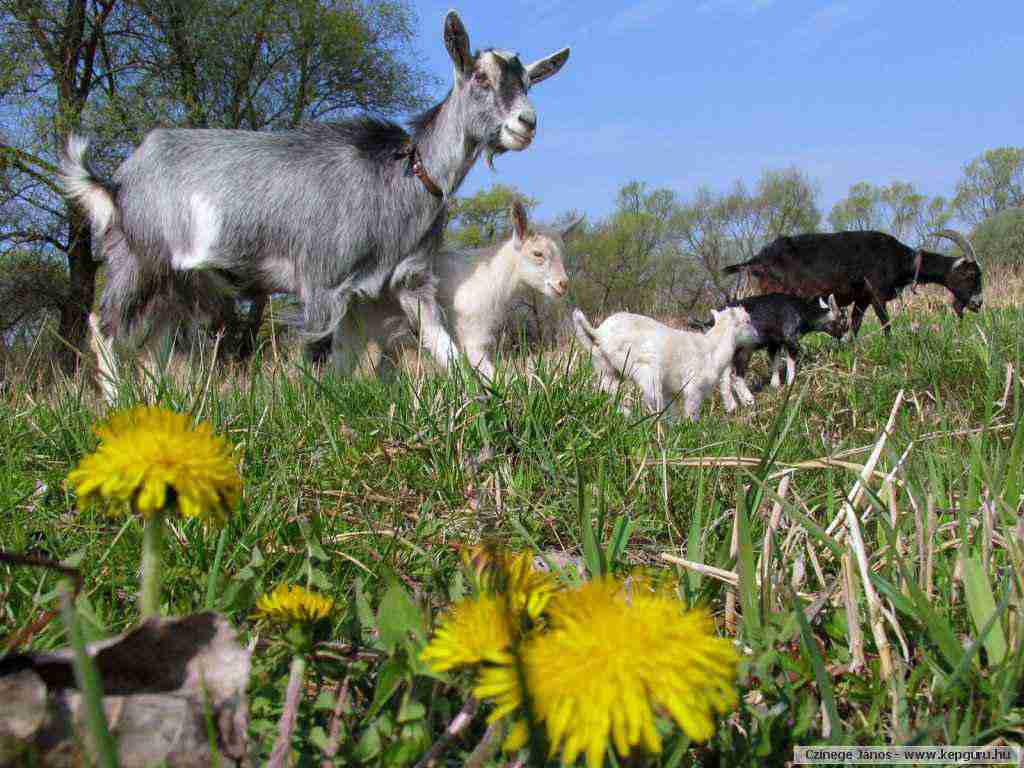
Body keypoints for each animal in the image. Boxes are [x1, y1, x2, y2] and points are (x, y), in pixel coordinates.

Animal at [348, 202, 581, 380]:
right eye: (537, 253)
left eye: (562, 254)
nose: (563, 284)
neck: (490, 277)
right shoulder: (471, 336)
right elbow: (494, 377)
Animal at [577, 305, 761, 421]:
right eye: (748, 321)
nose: (758, 337)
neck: (711, 347)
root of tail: (598, 334)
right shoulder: (694, 387)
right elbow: (692, 412)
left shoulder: (670, 392)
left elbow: (672, 412)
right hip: (644, 370)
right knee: (650, 401)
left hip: (604, 367)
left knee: (613, 393)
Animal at [688, 294, 847, 411]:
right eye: (841, 320)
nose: (846, 338)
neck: (802, 311)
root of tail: (711, 322)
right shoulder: (791, 338)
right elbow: (791, 361)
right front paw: (791, 383)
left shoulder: (774, 343)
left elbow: (774, 361)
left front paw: (775, 385)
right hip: (744, 349)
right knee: (735, 376)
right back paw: (749, 400)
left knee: (725, 378)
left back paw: (734, 406)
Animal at [724, 228, 978, 335]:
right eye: (971, 275)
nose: (978, 303)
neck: (901, 258)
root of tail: (757, 259)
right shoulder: (876, 293)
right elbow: (886, 323)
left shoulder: (862, 298)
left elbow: (856, 324)